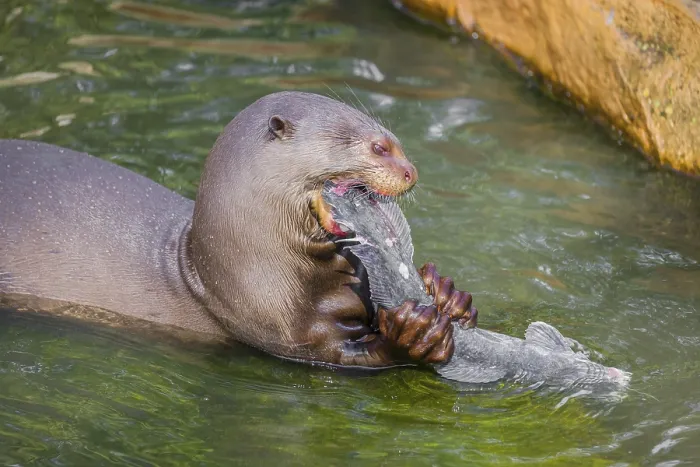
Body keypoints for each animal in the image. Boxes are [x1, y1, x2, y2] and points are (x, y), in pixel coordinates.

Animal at [0, 91, 476, 367]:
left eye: (396, 142)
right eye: (380, 147)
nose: (412, 172)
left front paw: (446, 294)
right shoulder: (281, 329)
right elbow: (344, 354)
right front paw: (416, 336)